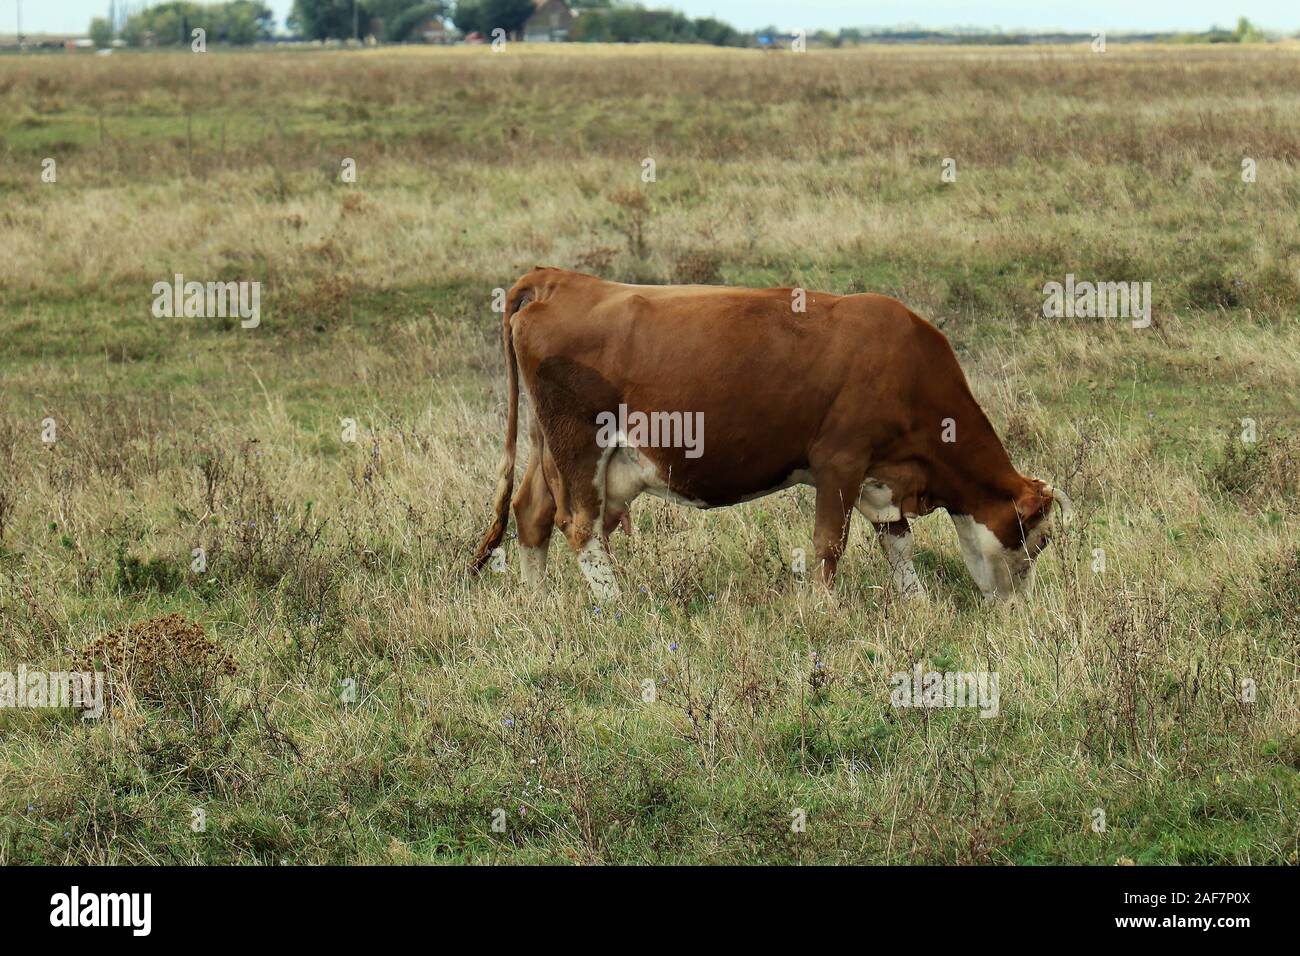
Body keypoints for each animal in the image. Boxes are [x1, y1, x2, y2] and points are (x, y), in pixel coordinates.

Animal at [473, 265, 1071, 600]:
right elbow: (830, 544)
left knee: (532, 512)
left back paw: (539, 603)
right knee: (581, 526)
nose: (1018, 610)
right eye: (1037, 540)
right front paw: (824, 608)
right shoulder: (840, 461)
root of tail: (558, 279)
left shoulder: (881, 475)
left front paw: (916, 603)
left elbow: (897, 542)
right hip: (580, 445)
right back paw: (616, 607)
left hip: (547, 445)